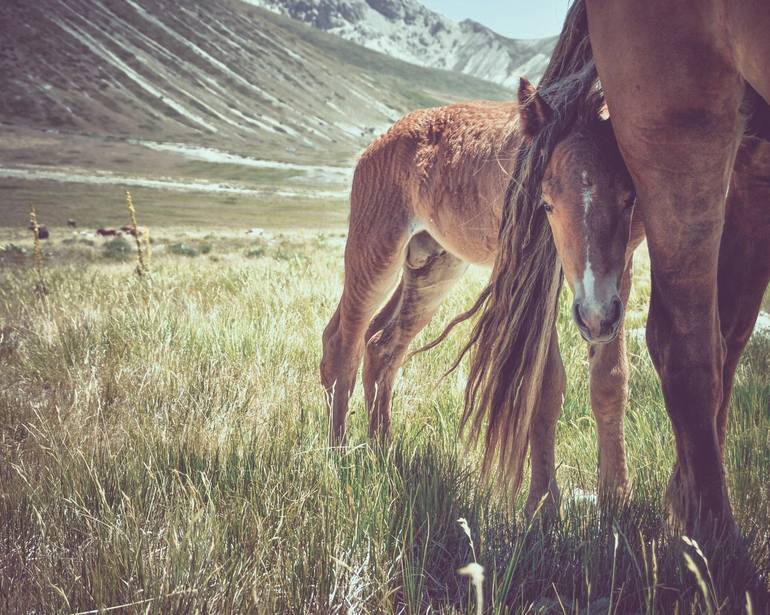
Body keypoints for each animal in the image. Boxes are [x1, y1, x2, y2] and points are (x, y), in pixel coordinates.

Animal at [318, 79, 636, 516]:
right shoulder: (537, 282)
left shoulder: (621, 272)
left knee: (383, 343)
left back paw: (383, 450)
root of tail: (376, 144)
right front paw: (542, 506)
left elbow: (610, 379)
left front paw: (617, 498)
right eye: (546, 204)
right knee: (341, 342)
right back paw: (339, 457)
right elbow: (543, 383)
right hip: (375, 250)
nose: (594, 318)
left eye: (628, 198)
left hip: (433, 266)